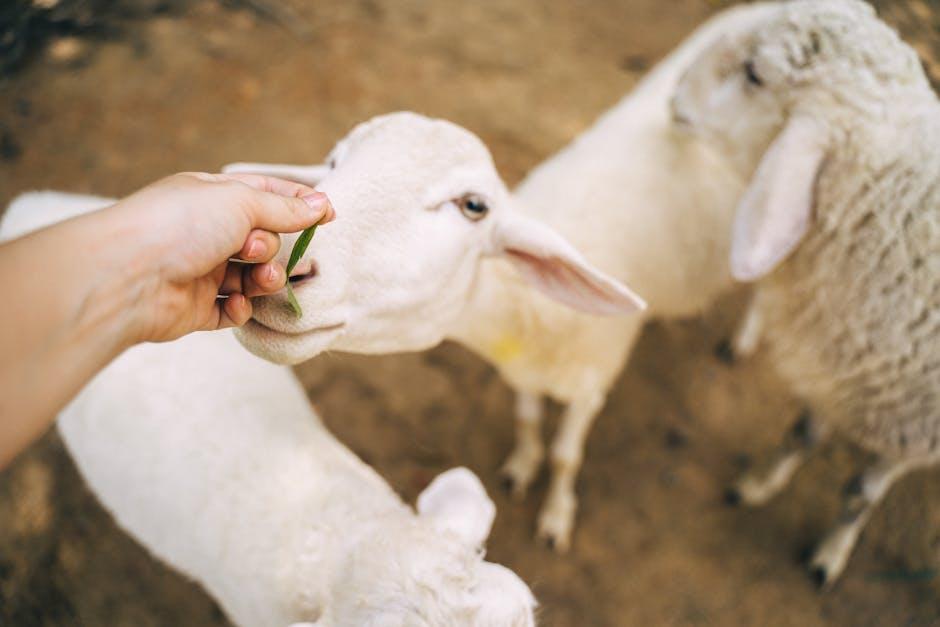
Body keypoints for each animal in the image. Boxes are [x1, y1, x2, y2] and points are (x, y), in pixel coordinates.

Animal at [225, 2, 779, 552]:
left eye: (474, 206)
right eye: (334, 162)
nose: (280, 267)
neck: (529, 316)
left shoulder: (592, 385)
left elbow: (566, 456)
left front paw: (556, 515)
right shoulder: (523, 373)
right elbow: (528, 418)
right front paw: (522, 465)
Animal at [671, 0, 940, 585]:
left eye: (754, 74)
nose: (675, 93)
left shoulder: (913, 432)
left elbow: (860, 495)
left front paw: (830, 555)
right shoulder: (846, 371)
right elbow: (802, 435)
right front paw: (758, 485)